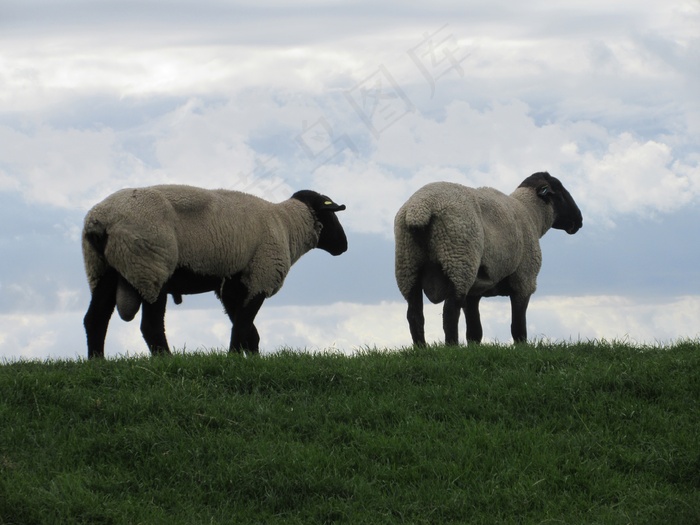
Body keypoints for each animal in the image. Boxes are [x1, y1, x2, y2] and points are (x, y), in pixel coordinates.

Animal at [81, 182, 348, 358]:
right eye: (333, 216)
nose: (344, 246)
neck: (288, 225)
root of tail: (100, 221)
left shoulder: (232, 286)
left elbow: (247, 329)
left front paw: (251, 359)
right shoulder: (260, 276)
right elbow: (242, 325)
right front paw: (233, 359)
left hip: (103, 269)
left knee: (95, 319)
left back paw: (97, 361)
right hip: (150, 266)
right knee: (151, 326)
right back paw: (165, 360)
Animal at [396, 170, 584, 346]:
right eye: (559, 190)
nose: (579, 220)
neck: (531, 214)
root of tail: (420, 208)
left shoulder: (474, 292)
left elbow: (474, 332)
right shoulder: (524, 280)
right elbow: (518, 328)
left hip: (408, 264)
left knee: (414, 314)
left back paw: (421, 349)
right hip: (458, 259)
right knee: (450, 312)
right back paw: (452, 348)